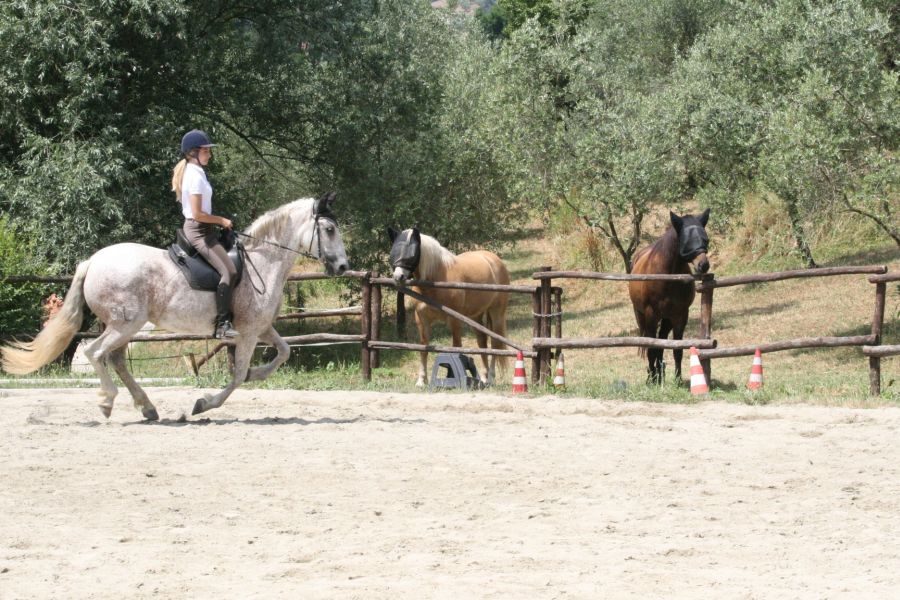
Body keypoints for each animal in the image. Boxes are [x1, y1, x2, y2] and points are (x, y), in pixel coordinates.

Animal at [1, 196, 348, 418]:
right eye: (330, 230)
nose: (343, 267)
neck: (264, 261)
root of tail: (93, 261)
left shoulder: (261, 328)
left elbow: (284, 352)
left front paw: (257, 374)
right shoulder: (248, 333)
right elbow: (238, 376)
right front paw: (204, 403)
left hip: (126, 326)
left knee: (115, 358)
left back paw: (147, 407)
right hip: (125, 323)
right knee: (95, 353)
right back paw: (108, 402)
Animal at [388, 227, 510, 386]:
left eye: (412, 254)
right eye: (393, 252)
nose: (398, 277)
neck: (436, 280)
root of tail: (494, 259)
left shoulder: (454, 320)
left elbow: (456, 347)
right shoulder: (422, 319)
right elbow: (423, 347)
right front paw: (421, 380)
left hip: (497, 312)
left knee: (495, 344)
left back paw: (490, 377)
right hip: (476, 316)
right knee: (482, 341)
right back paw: (483, 378)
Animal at [624, 209, 712, 382]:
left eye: (705, 239)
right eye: (686, 240)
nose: (703, 265)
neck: (668, 278)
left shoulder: (680, 316)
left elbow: (677, 349)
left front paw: (677, 379)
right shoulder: (651, 316)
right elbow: (652, 348)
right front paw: (652, 379)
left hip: (667, 319)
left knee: (662, 340)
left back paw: (660, 373)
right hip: (641, 316)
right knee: (650, 343)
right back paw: (654, 375)